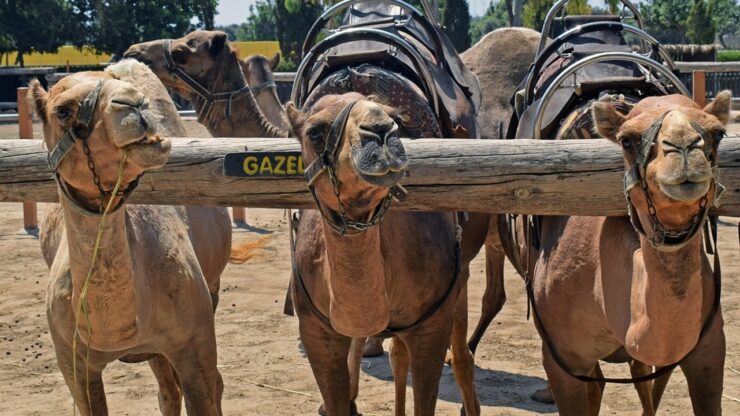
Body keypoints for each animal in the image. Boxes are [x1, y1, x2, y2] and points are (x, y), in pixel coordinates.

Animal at [30, 60, 252, 415]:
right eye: (62, 111)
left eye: (112, 80)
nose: (134, 102)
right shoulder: (72, 362)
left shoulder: (193, 341)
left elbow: (205, 386)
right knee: (167, 390)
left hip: (212, 291)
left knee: (201, 384)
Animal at [287, 92, 480, 416]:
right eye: (314, 132)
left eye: (396, 119)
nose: (380, 130)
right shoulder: (316, 332)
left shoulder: (431, 327)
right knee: (394, 352)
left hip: (461, 273)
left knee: (460, 357)